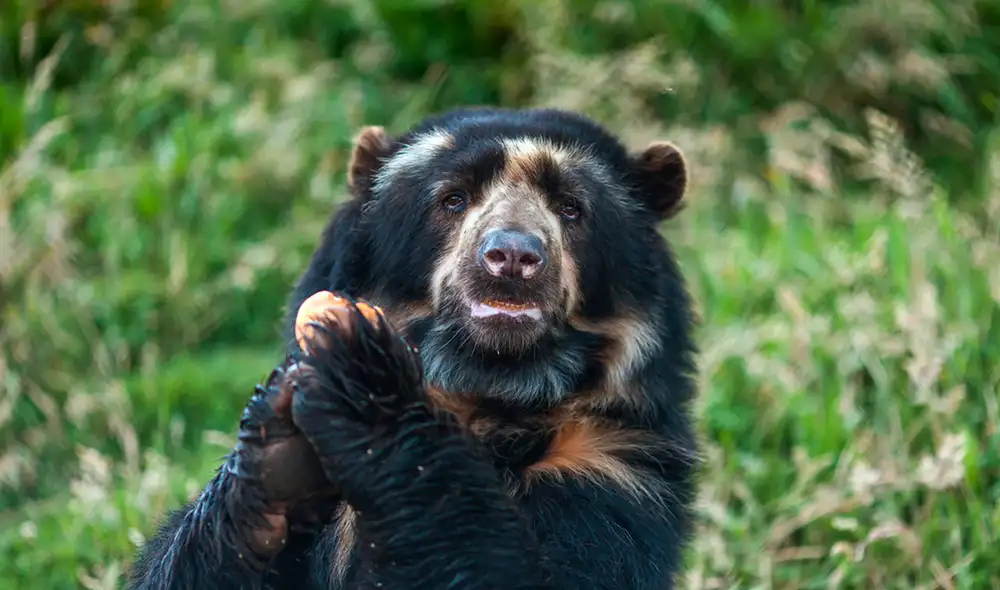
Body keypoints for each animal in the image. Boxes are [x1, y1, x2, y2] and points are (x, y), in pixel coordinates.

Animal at [126, 106, 701, 590]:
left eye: (570, 208)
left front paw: (359, 370)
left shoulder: (612, 466)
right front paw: (278, 450)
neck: (487, 391)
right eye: (452, 199)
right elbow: (176, 570)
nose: (512, 257)